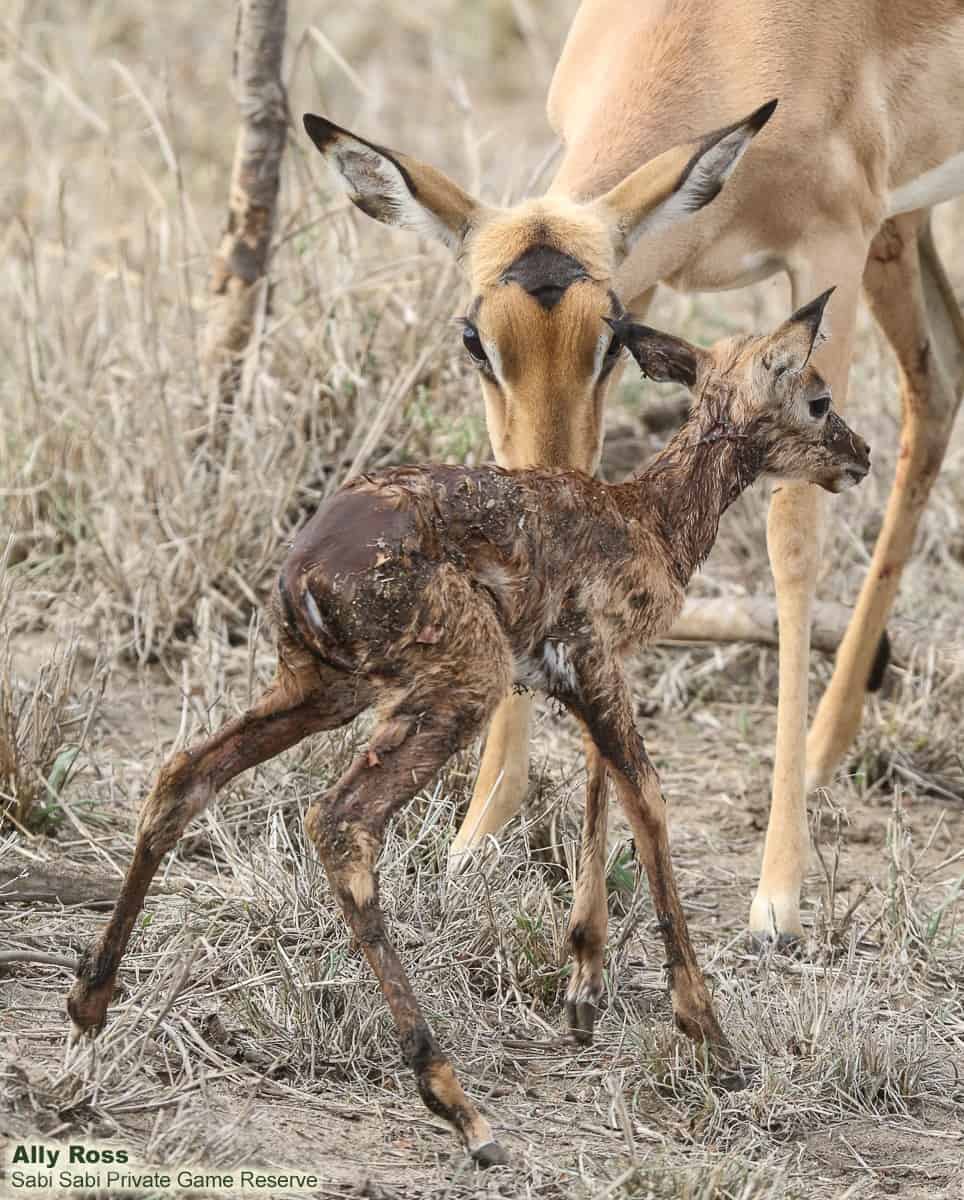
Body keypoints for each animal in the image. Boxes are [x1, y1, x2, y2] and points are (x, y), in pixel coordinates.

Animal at [68, 296, 870, 1166]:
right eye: (818, 397)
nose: (860, 453)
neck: (649, 521)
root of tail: (300, 574)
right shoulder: (590, 657)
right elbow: (649, 799)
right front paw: (713, 1043)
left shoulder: (574, 675)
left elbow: (602, 786)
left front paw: (585, 993)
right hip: (457, 682)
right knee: (339, 818)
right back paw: (463, 1111)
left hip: (324, 688)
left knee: (186, 771)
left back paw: (89, 1009)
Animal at [304, 2, 964, 948]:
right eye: (474, 339)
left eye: (606, 339)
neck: (725, 36)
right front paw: (478, 831)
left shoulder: (827, 254)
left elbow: (792, 538)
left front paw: (779, 893)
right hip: (903, 234)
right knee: (939, 382)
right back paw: (825, 748)